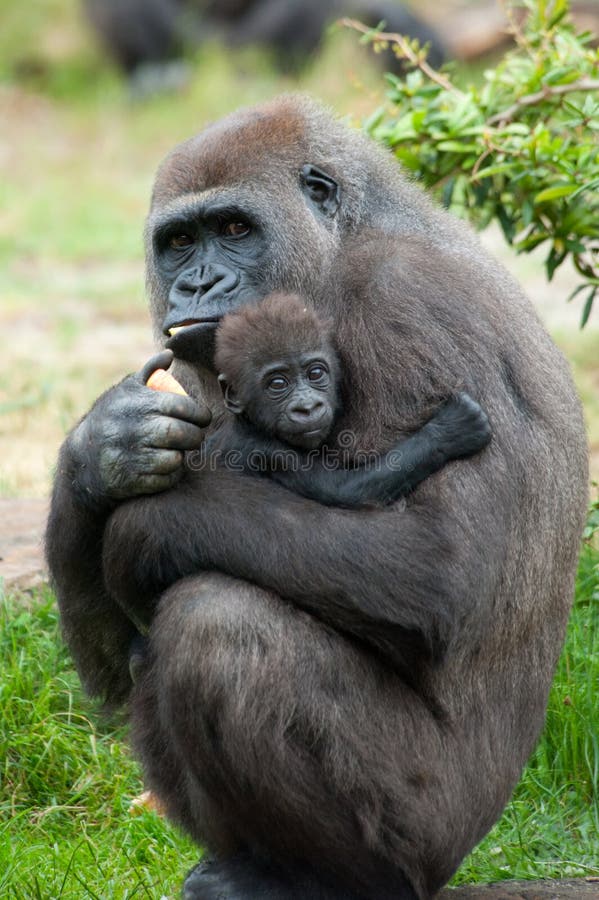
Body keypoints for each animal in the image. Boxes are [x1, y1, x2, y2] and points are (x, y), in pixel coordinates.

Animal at [206, 294, 492, 506]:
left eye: (315, 373)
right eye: (277, 384)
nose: (308, 407)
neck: (248, 423)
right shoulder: (266, 451)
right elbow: (344, 489)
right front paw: (450, 431)